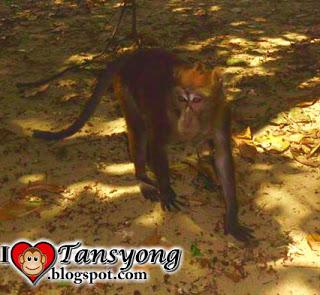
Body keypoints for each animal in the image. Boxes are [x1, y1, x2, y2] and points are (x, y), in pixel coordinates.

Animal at [31, 48, 252, 243]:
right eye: (182, 99)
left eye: (197, 100)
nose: (186, 118)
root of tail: (132, 55)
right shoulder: (165, 113)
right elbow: (156, 143)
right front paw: (166, 190)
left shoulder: (223, 113)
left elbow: (222, 157)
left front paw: (232, 220)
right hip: (124, 87)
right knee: (139, 130)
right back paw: (143, 178)